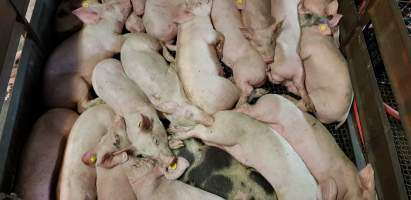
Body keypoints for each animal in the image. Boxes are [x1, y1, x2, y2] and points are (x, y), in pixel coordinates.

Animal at [173, 111, 318, 200]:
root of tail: (218, 114)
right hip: (224, 132)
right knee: (199, 130)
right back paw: (177, 135)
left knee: (198, 129)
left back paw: (175, 132)